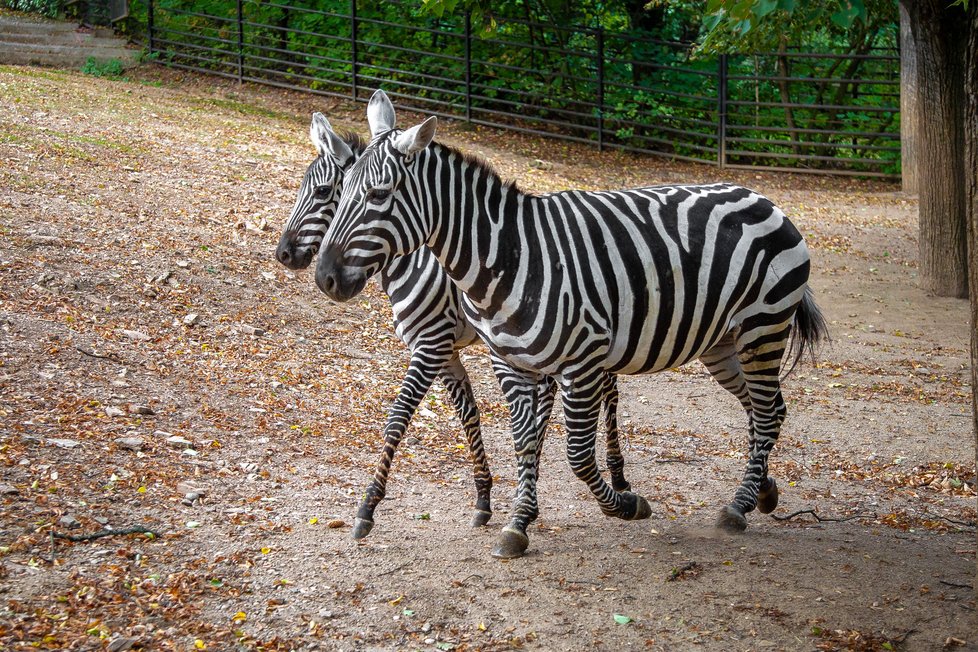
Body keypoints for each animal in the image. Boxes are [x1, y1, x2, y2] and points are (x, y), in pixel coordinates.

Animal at [272, 112, 632, 540]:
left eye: (324, 191)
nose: (284, 254)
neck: (415, 258)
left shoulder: (432, 343)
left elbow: (399, 417)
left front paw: (368, 507)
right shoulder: (446, 352)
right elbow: (468, 414)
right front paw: (484, 499)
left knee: (607, 390)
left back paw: (617, 476)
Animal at [316, 90, 828, 560]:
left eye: (378, 195)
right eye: (341, 193)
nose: (325, 277)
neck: (507, 257)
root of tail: (760, 197)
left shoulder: (578, 361)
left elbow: (578, 456)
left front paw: (625, 505)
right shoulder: (512, 362)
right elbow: (524, 440)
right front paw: (518, 522)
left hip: (763, 328)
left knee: (765, 412)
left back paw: (738, 507)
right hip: (722, 343)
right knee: (768, 409)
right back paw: (763, 492)